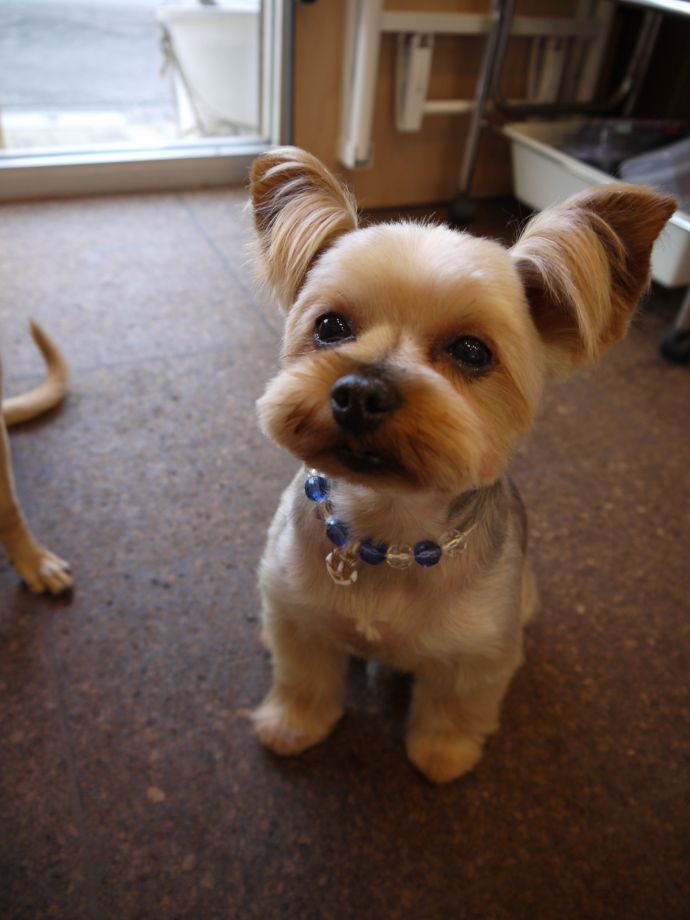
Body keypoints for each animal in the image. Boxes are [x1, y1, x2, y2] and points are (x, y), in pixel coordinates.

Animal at [247, 147, 672, 780]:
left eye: (472, 351)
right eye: (330, 326)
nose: (359, 393)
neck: (389, 529)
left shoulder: (478, 652)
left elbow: (455, 704)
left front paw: (442, 756)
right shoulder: (298, 614)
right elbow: (304, 676)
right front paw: (293, 725)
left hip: (524, 597)